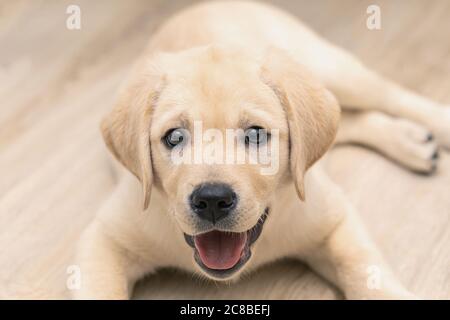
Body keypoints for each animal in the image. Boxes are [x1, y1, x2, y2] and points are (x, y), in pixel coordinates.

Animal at [74, 1, 446, 298]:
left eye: (255, 135)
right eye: (174, 137)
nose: (212, 199)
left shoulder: (334, 218)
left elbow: (362, 268)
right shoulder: (104, 240)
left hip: (332, 69)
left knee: (388, 95)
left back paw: (437, 124)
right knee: (348, 119)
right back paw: (411, 141)